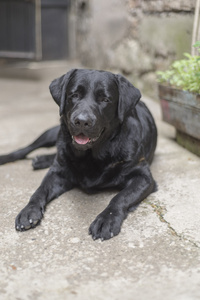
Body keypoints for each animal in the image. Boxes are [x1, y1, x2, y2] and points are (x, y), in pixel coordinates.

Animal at [0, 69, 157, 240]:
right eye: (74, 95)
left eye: (105, 99)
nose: (82, 121)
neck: (92, 155)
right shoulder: (58, 172)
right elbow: (40, 190)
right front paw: (29, 210)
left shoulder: (143, 177)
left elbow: (120, 197)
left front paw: (106, 219)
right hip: (51, 133)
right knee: (27, 148)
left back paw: (42, 160)